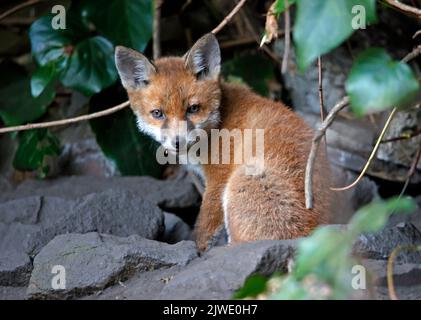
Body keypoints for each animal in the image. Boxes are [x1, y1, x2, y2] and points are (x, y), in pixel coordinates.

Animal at [115, 33, 332, 251]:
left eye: (193, 109)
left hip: (239, 184)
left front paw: (196, 250)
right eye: (157, 113)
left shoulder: (218, 179)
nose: (178, 142)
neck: (219, 121)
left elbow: (203, 229)